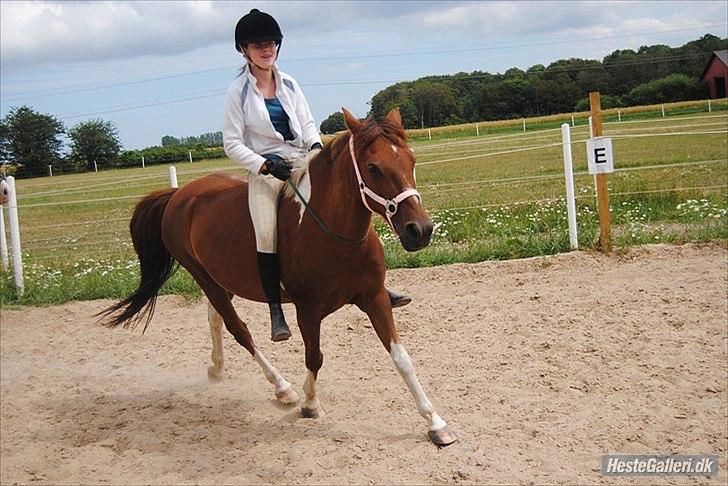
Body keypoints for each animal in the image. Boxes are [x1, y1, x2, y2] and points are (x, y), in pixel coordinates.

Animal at [100, 108, 458, 446]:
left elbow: (402, 359)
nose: (420, 230)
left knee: (215, 318)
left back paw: (216, 369)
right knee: (238, 330)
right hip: (205, 278)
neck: (332, 233)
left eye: (411, 161)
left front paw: (436, 424)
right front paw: (310, 404)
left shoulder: (375, 299)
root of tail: (179, 195)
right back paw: (282, 387)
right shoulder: (307, 311)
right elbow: (315, 358)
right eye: (373, 167)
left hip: (222, 280)